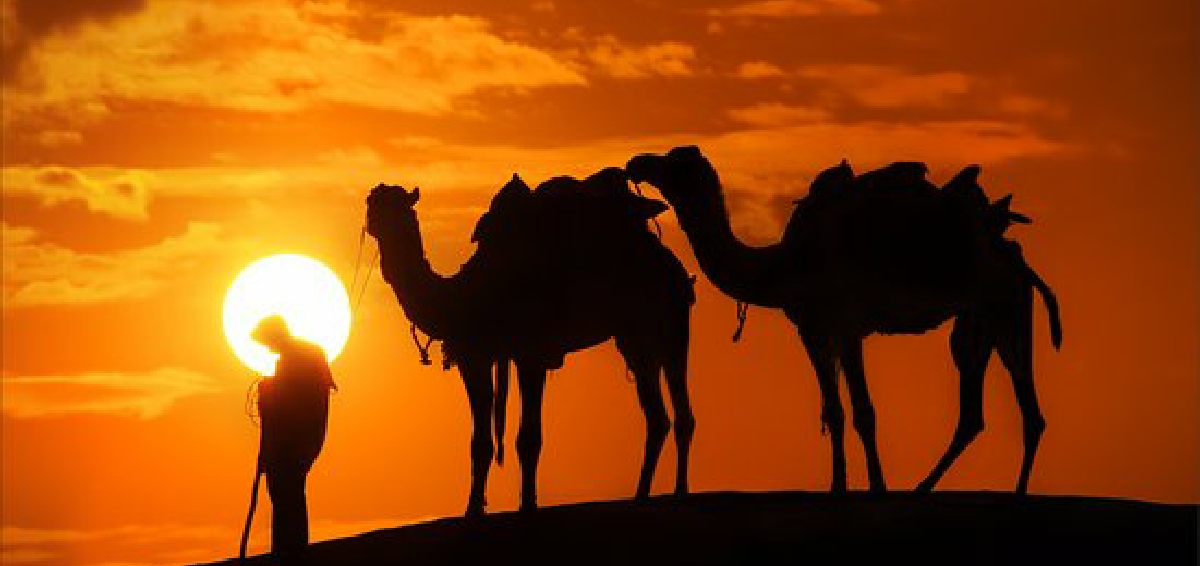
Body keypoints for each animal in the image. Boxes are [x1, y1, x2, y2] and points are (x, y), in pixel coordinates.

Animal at [365, 171, 696, 516]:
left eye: (395, 205)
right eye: (372, 202)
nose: (376, 221)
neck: (465, 295)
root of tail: (669, 263)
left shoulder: (530, 353)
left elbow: (528, 438)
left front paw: (528, 504)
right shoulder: (475, 356)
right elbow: (480, 442)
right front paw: (473, 508)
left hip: (673, 320)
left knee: (681, 411)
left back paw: (679, 491)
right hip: (634, 337)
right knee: (657, 415)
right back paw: (642, 495)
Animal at [626, 146, 1062, 494]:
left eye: (675, 163)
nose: (637, 162)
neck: (785, 264)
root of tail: (1008, 245)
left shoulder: (849, 326)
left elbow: (865, 412)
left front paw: (878, 486)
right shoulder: (813, 332)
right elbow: (834, 412)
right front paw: (838, 485)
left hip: (1007, 306)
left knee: (1028, 407)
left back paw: (1014, 493)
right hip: (978, 320)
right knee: (978, 409)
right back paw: (925, 486)